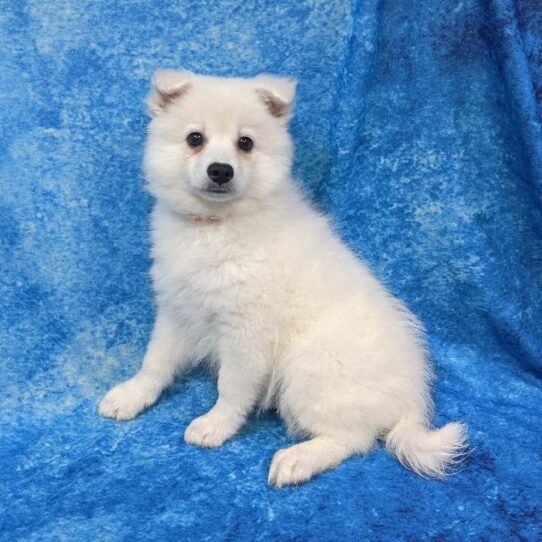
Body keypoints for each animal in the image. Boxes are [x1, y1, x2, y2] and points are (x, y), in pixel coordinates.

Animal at [101, 69, 468, 488]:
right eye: (195, 138)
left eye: (245, 143)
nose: (220, 170)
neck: (216, 225)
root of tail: (411, 400)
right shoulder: (176, 310)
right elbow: (155, 363)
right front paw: (131, 395)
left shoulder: (246, 330)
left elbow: (232, 386)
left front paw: (214, 425)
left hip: (310, 372)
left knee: (354, 439)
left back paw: (298, 459)